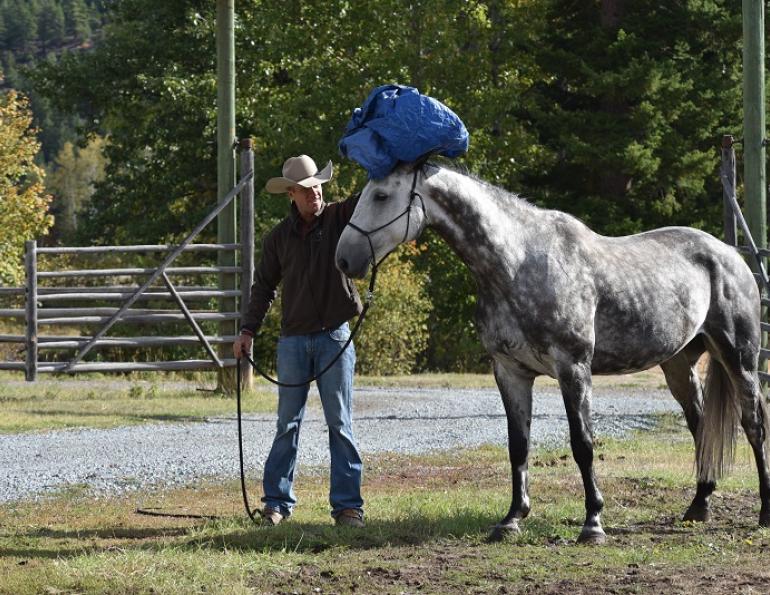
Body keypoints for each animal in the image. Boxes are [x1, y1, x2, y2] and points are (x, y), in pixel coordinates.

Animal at [335, 161, 770, 544]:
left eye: (381, 195)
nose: (344, 258)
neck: (517, 263)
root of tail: (728, 254)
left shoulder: (572, 368)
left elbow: (583, 444)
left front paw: (593, 523)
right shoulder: (510, 371)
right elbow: (518, 445)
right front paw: (512, 519)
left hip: (739, 358)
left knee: (753, 423)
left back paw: (763, 513)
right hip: (678, 364)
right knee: (700, 425)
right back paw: (699, 505)